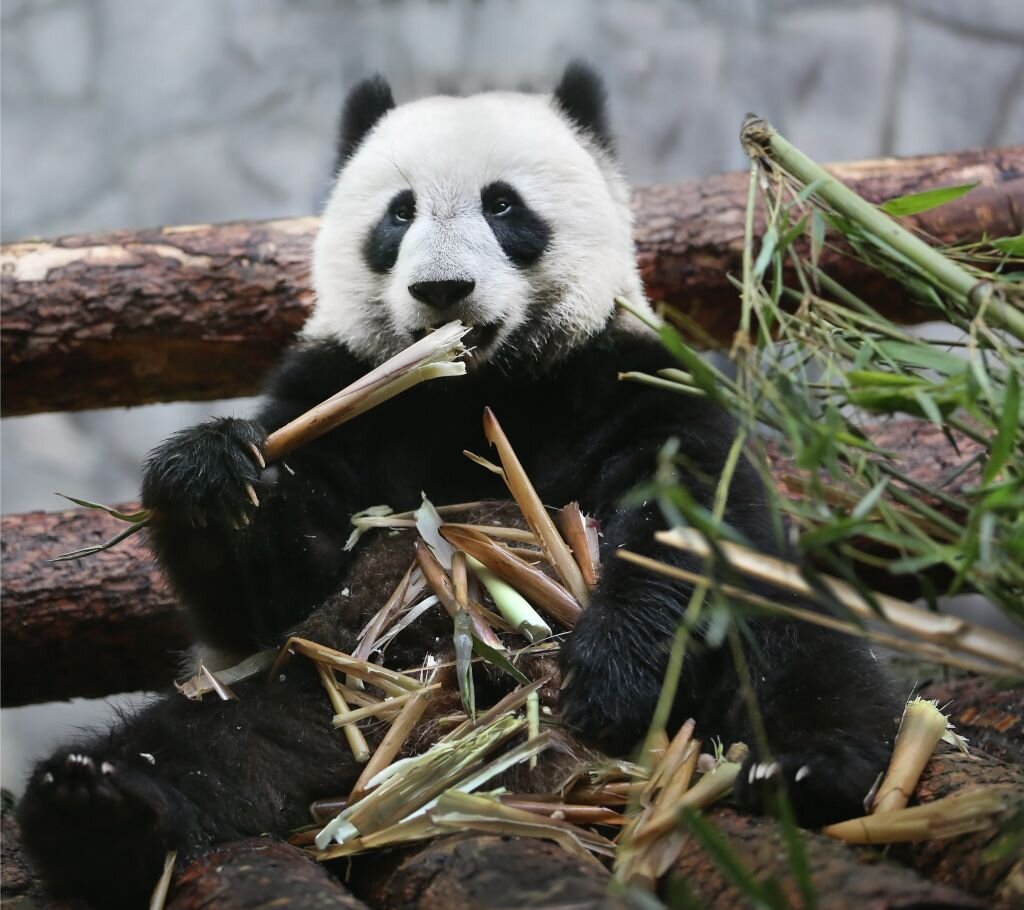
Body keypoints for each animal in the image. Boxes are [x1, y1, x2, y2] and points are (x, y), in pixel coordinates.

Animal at [16, 65, 897, 908]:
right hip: (329, 689)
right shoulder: (340, 396)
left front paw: (609, 673)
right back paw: (95, 813)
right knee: (209, 741)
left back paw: (800, 771)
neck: (476, 388)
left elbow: (688, 515)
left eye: (503, 205)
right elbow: (269, 597)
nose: (442, 290)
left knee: (802, 659)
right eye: (398, 215)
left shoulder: (625, 372)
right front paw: (214, 476)